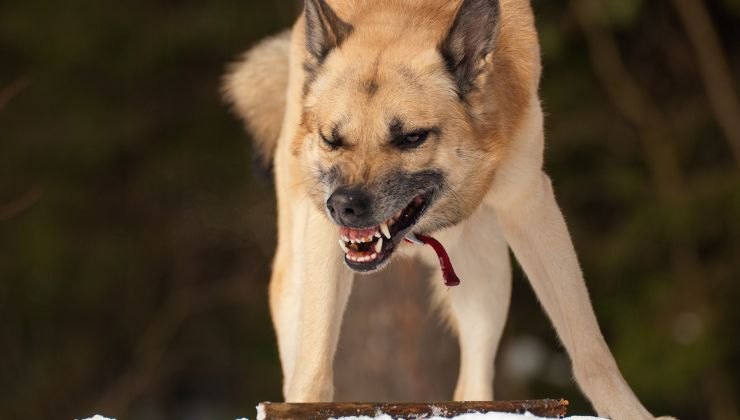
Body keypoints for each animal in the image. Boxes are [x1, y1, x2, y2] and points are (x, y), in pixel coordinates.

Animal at [223, 1, 672, 418]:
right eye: (332, 139)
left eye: (411, 138)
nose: (343, 206)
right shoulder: (322, 241)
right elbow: (313, 365)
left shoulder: (530, 203)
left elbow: (590, 348)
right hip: (295, 276)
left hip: (488, 275)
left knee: (472, 381)